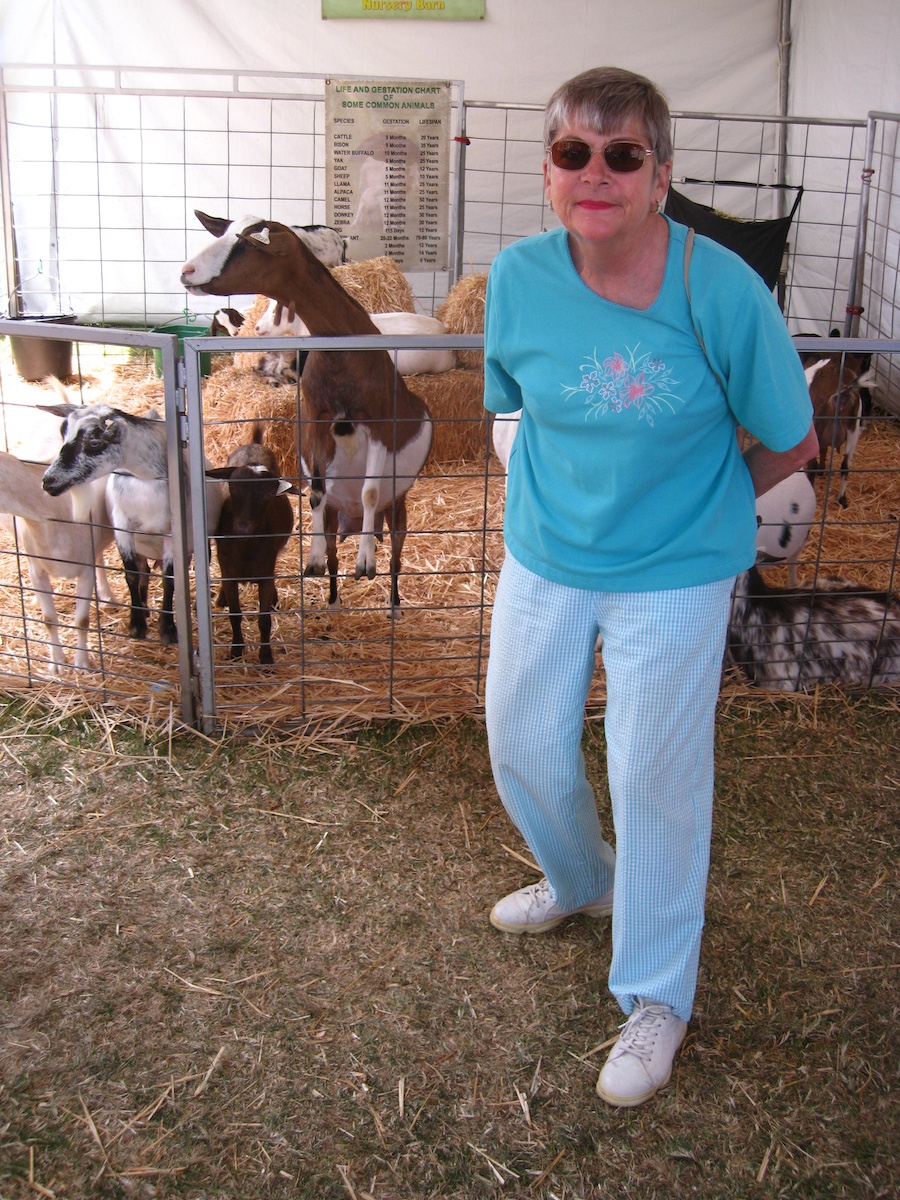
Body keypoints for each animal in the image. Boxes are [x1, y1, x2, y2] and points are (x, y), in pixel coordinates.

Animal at [0, 451, 116, 676]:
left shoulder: (85, 570)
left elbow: (82, 620)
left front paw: (82, 664)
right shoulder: (36, 570)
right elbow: (49, 620)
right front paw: (58, 664)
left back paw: (107, 597)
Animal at [180, 207, 434, 614]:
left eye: (248, 242)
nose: (186, 271)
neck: (345, 351)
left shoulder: (380, 421)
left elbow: (369, 491)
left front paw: (366, 561)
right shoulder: (316, 421)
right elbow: (315, 492)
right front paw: (311, 560)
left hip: (398, 509)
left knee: (395, 551)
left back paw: (393, 603)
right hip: (334, 516)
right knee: (332, 547)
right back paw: (332, 599)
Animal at [207, 422, 296, 667]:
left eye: (268, 495)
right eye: (232, 488)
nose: (243, 527)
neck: (245, 547)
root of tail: (254, 444)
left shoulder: (265, 574)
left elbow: (264, 620)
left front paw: (266, 657)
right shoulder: (229, 572)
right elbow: (235, 615)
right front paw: (236, 650)